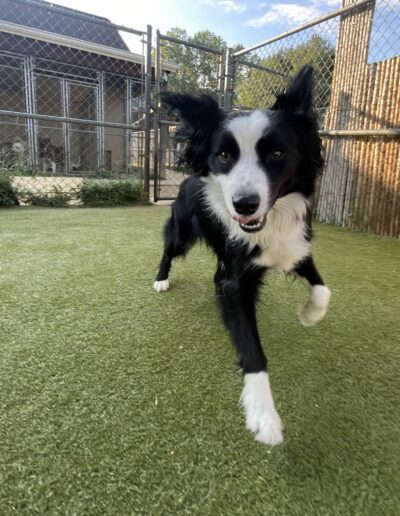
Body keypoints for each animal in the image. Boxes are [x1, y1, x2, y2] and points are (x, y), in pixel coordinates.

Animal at [153, 66, 332, 446]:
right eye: (224, 156)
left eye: (277, 154)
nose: (244, 205)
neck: (270, 222)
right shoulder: (237, 280)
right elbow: (251, 347)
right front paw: (264, 415)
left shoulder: (297, 248)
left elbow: (323, 290)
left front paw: (309, 315)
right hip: (181, 232)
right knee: (168, 250)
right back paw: (160, 279)